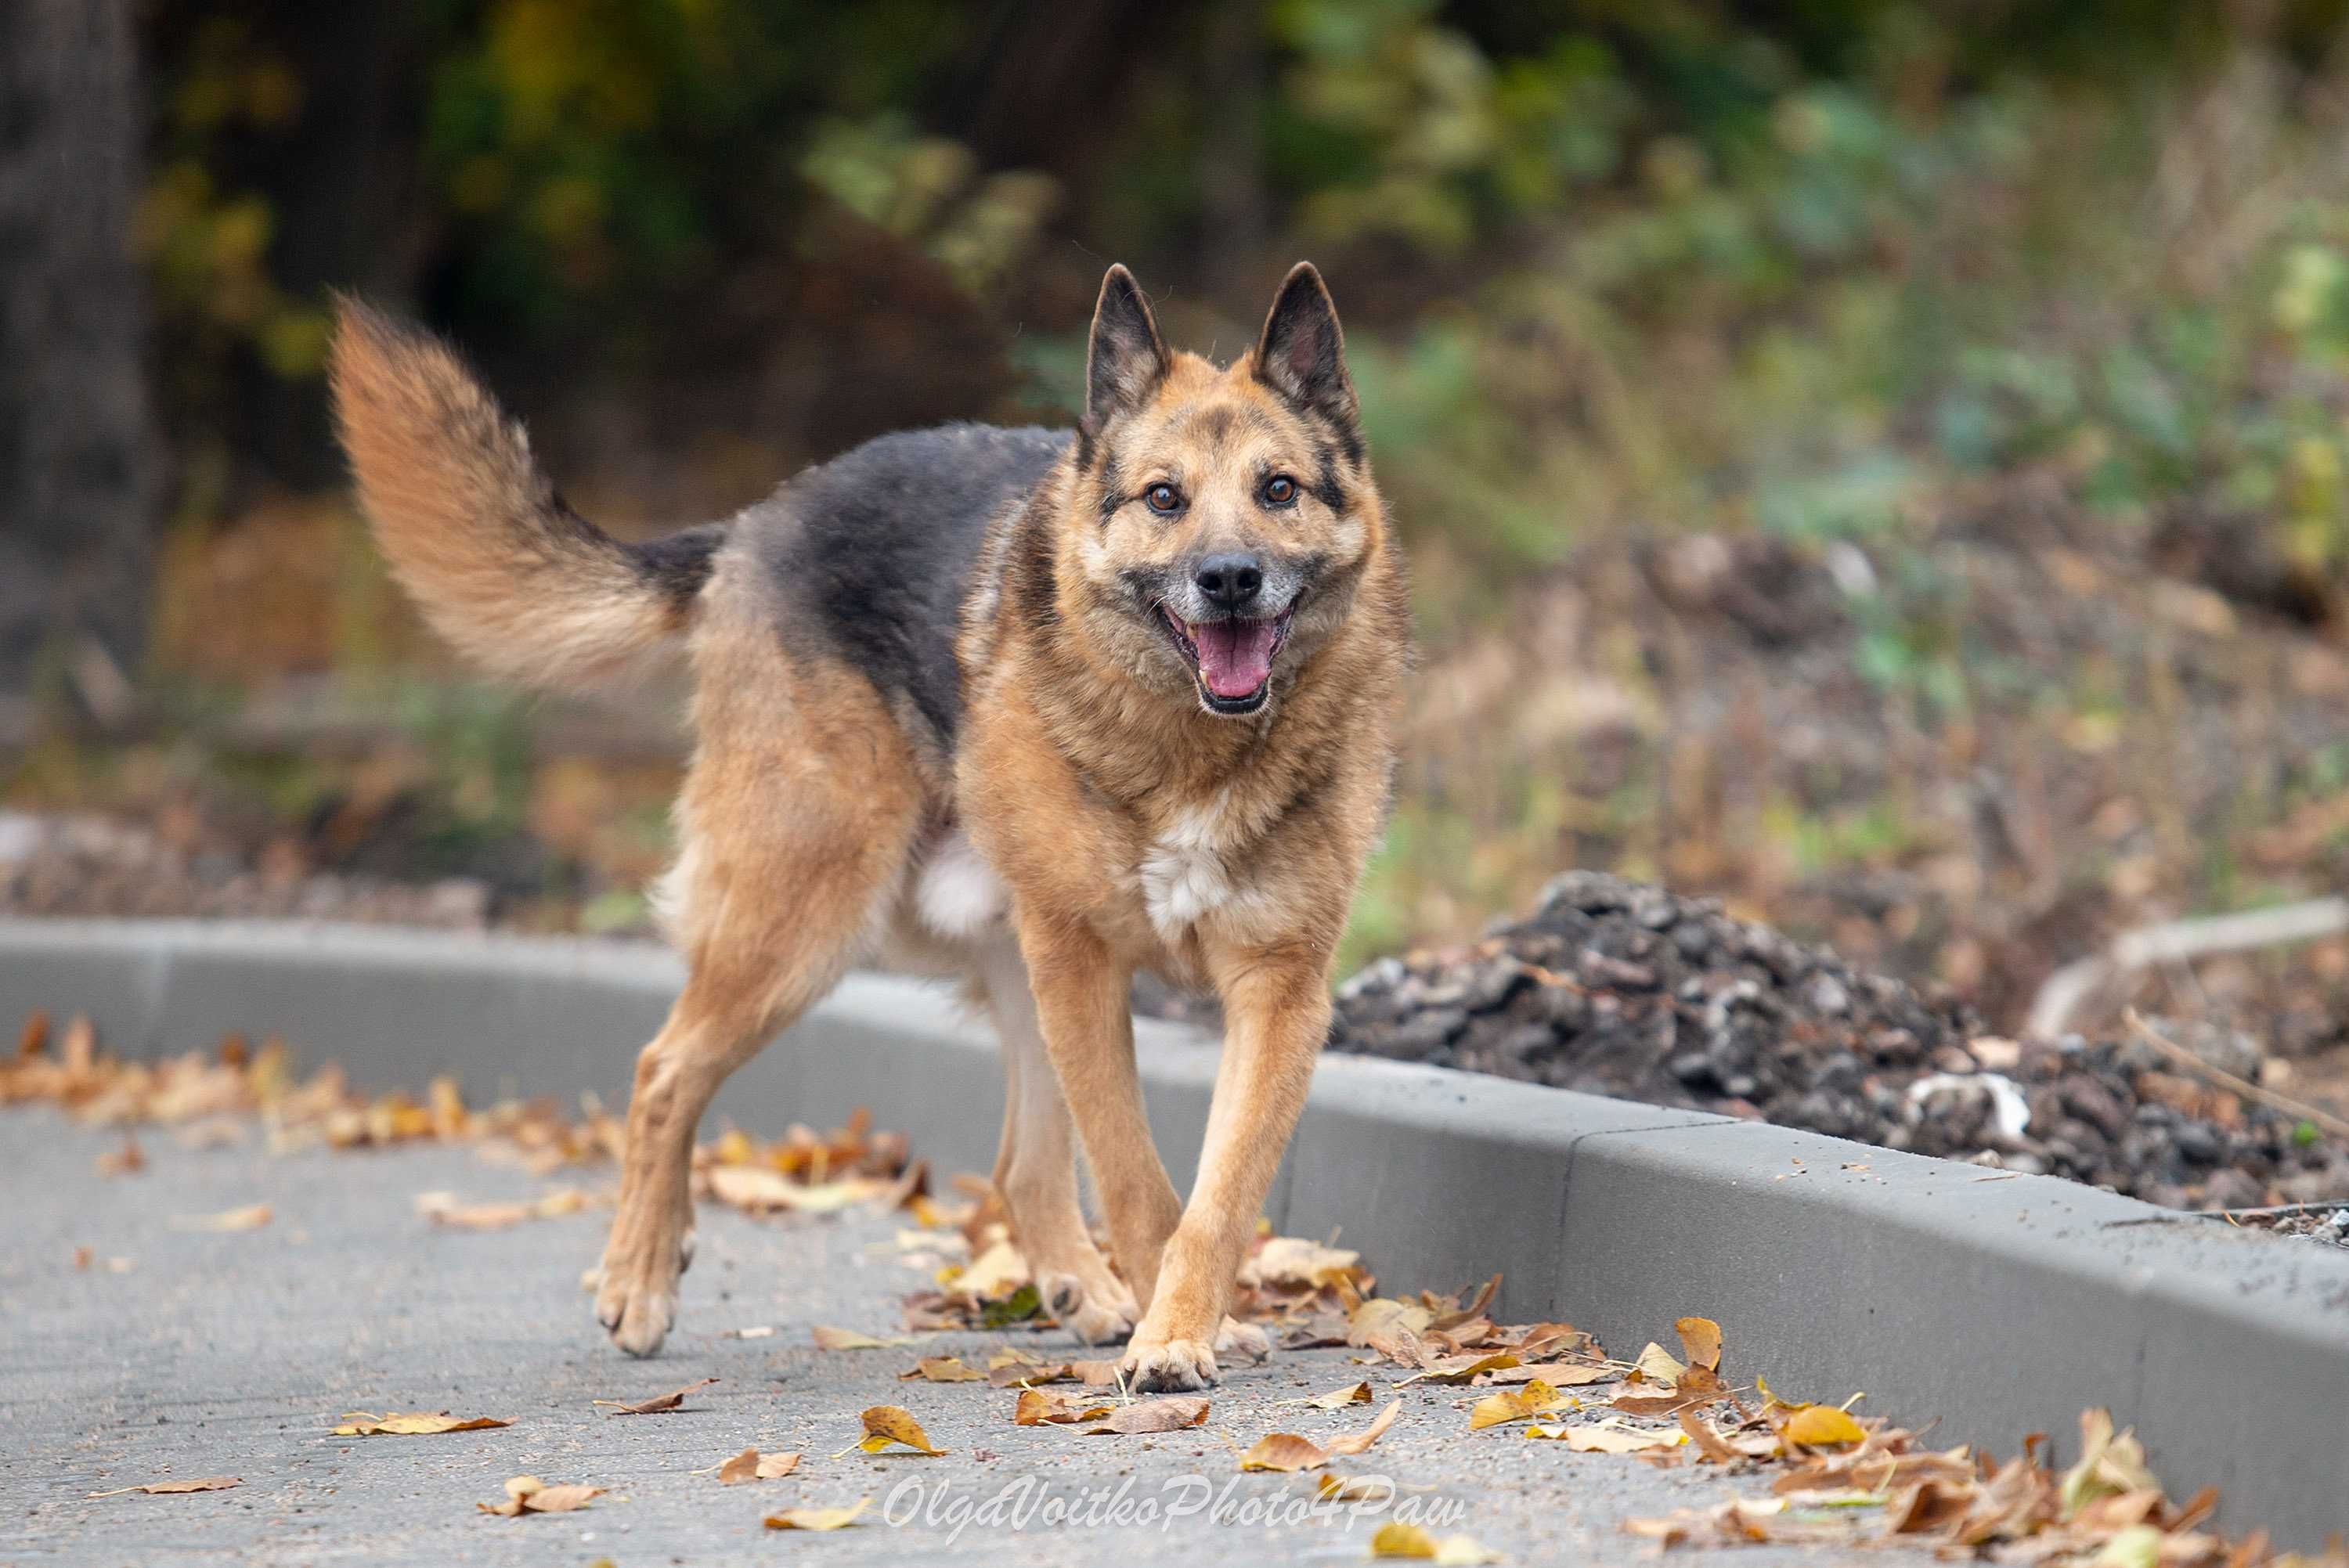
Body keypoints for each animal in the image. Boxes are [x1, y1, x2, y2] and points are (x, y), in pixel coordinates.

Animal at [322, 262, 1400, 1390]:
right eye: (1164, 498)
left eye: (1277, 489)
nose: (1228, 578)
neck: (1190, 745)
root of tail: (757, 518)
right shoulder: (1089, 965)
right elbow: (1139, 1180)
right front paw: (1174, 1337)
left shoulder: (1276, 995)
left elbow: (1219, 1193)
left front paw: (1184, 1326)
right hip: (812, 923)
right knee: (664, 1070)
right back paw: (639, 1277)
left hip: (1007, 963)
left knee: (1020, 1165)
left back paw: (1088, 1293)